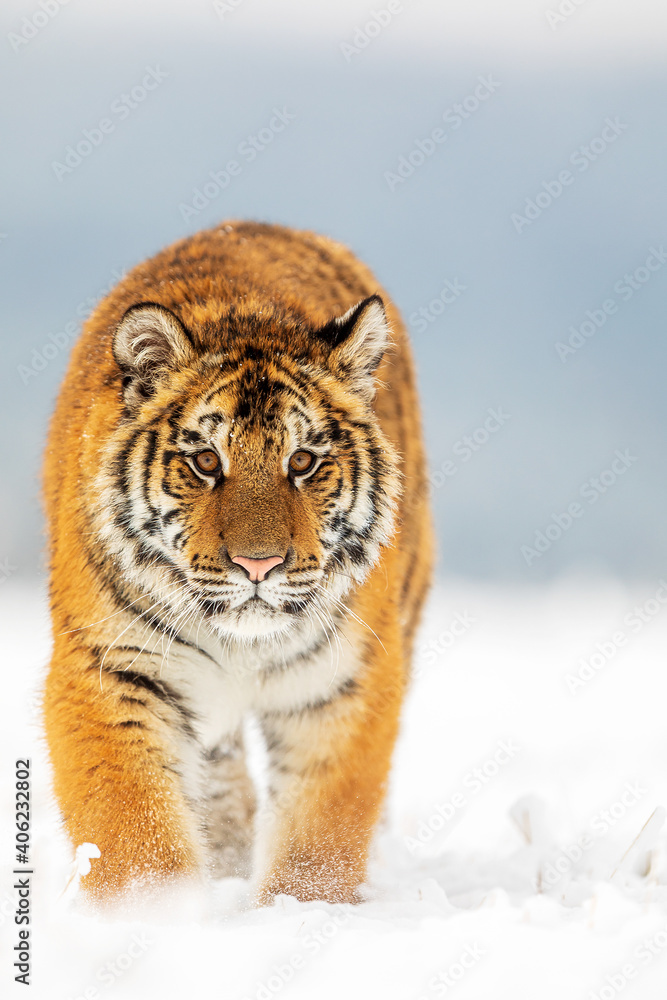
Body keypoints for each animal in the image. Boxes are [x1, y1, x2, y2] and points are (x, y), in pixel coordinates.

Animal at [42, 220, 433, 905]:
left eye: (302, 462)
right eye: (205, 462)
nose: (259, 565)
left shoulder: (339, 684)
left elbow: (319, 836)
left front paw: (301, 910)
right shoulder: (111, 667)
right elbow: (134, 831)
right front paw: (163, 914)